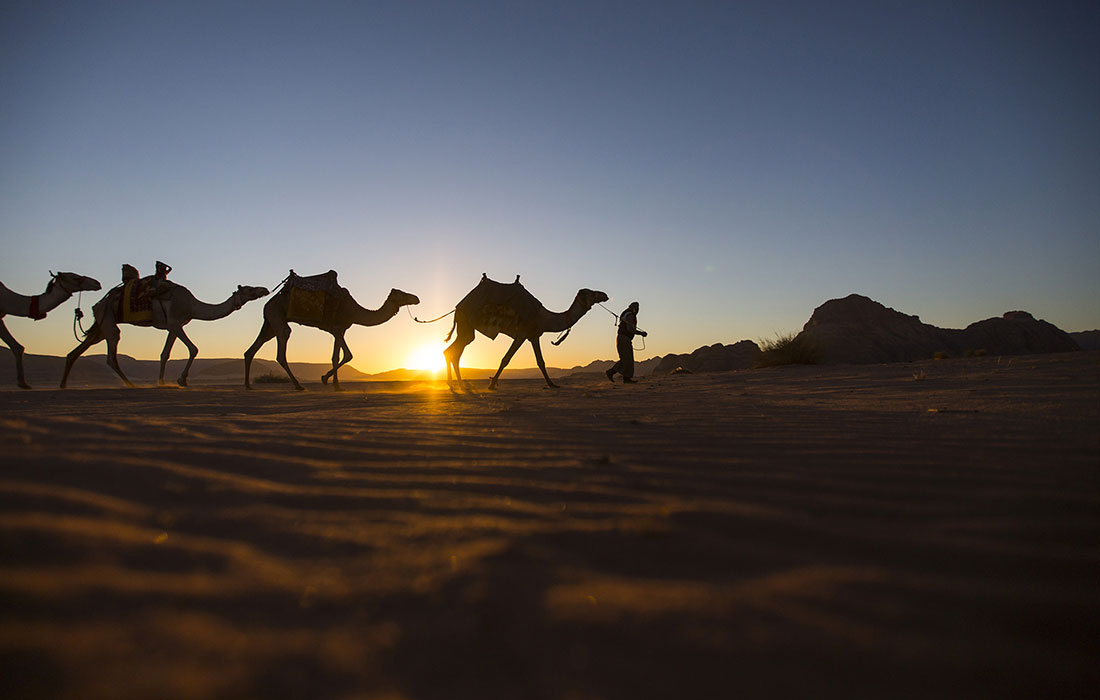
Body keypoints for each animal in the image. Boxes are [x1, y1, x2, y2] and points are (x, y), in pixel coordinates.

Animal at [60, 278, 268, 387]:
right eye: (249, 290)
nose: (264, 289)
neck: (192, 306)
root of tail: (98, 304)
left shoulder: (173, 326)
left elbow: (165, 353)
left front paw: (161, 381)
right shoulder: (175, 322)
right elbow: (193, 349)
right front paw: (181, 380)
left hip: (101, 325)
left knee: (76, 351)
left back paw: (63, 385)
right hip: (108, 319)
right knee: (111, 353)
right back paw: (131, 384)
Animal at [243, 270, 418, 391]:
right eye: (402, 294)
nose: (416, 298)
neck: (353, 310)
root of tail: (268, 303)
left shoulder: (341, 330)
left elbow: (335, 356)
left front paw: (337, 385)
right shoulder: (336, 328)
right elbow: (348, 355)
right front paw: (324, 378)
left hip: (270, 322)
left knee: (253, 348)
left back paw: (247, 385)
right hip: (277, 315)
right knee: (282, 346)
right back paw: (298, 385)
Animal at [442, 271, 611, 391]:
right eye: (590, 292)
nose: (605, 295)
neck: (543, 317)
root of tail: (457, 307)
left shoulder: (534, 335)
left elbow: (541, 361)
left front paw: (552, 384)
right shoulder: (522, 334)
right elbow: (506, 359)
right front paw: (492, 384)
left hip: (466, 329)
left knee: (453, 351)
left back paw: (456, 384)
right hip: (466, 323)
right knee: (453, 351)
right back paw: (457, 384)